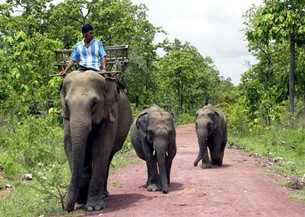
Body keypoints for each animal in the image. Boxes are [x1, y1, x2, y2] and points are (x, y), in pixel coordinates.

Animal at [60, 71, 132, 212]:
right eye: (67, 104)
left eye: (94, 103)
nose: (67, 208)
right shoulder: (67, 120)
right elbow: (69, 147)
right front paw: (82, 200)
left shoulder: (110, 112)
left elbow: (100, 148)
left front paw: (94, 207)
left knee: (108, 158)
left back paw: (104, 194)